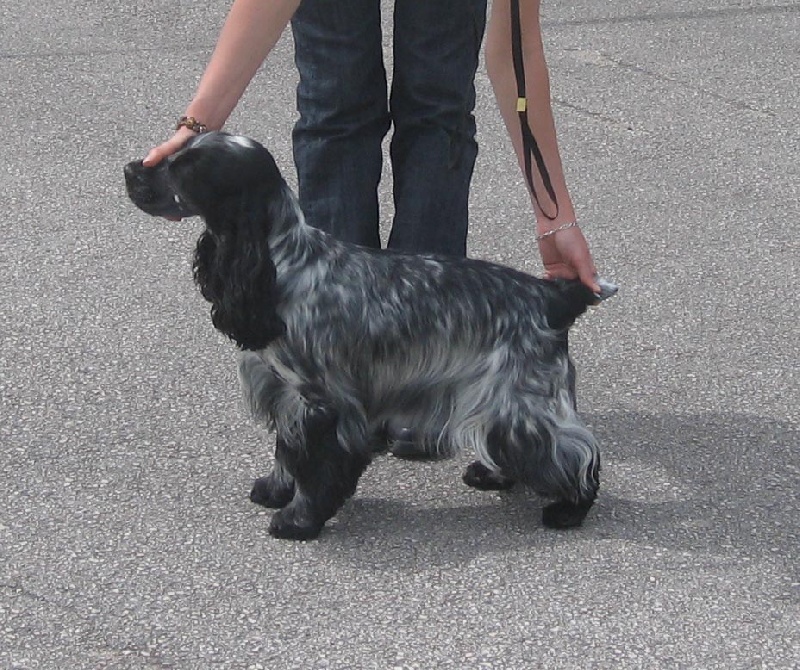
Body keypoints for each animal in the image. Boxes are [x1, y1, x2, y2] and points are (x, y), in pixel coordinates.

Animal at [124, 131, 617, 540]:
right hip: (499, 399)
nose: (131, 169)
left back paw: (569, 509)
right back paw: (492, 475)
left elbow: (315, 468)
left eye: (187, 168)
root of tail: (553, 295)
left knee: (573, 451)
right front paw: (274, 490)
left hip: (523, 397)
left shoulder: (322, 403)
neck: (283, 262)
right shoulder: (285, 393)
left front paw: (297, 520)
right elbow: (286, 451)